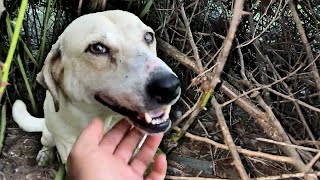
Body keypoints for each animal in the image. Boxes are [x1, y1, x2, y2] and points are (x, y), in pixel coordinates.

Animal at [11, 10, 180, 166]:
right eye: (97, 48)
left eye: (148, 37)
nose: (170, 87)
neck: (105, 122)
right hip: (48, 135)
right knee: (46, 143)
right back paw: (45, 155)